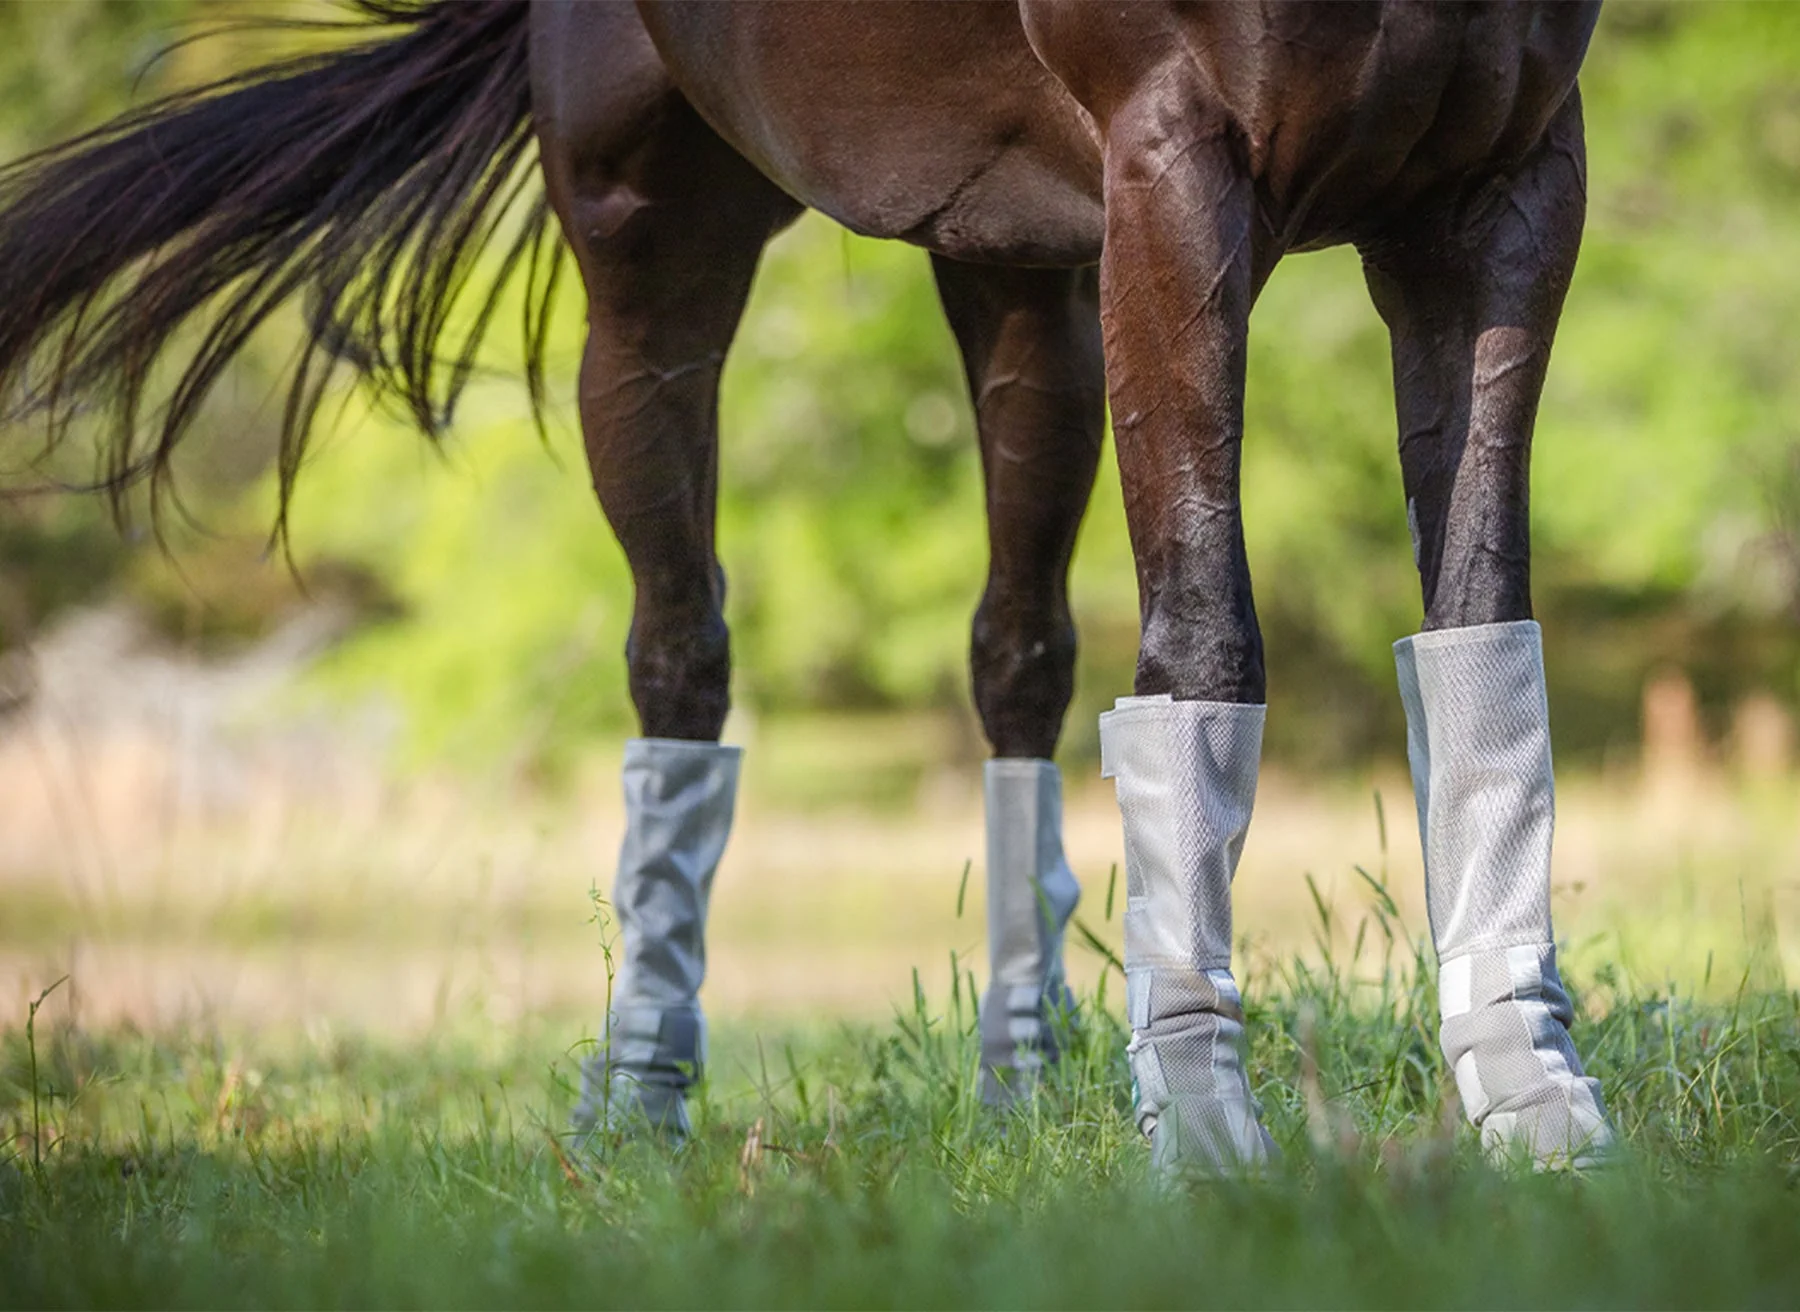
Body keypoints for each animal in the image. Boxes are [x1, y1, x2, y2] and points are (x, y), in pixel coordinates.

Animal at [0, 0, 1612, 1174]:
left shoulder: (1509, 178)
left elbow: (1481, 617)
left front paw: (1536, 1109)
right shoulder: (1180, 164)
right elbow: (1209, 626)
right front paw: (1218, 1150)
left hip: (1024, 282)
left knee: (1014, 655)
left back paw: (1021, 1085)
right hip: (651, 259)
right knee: (679, 655)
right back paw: (638, 1097)